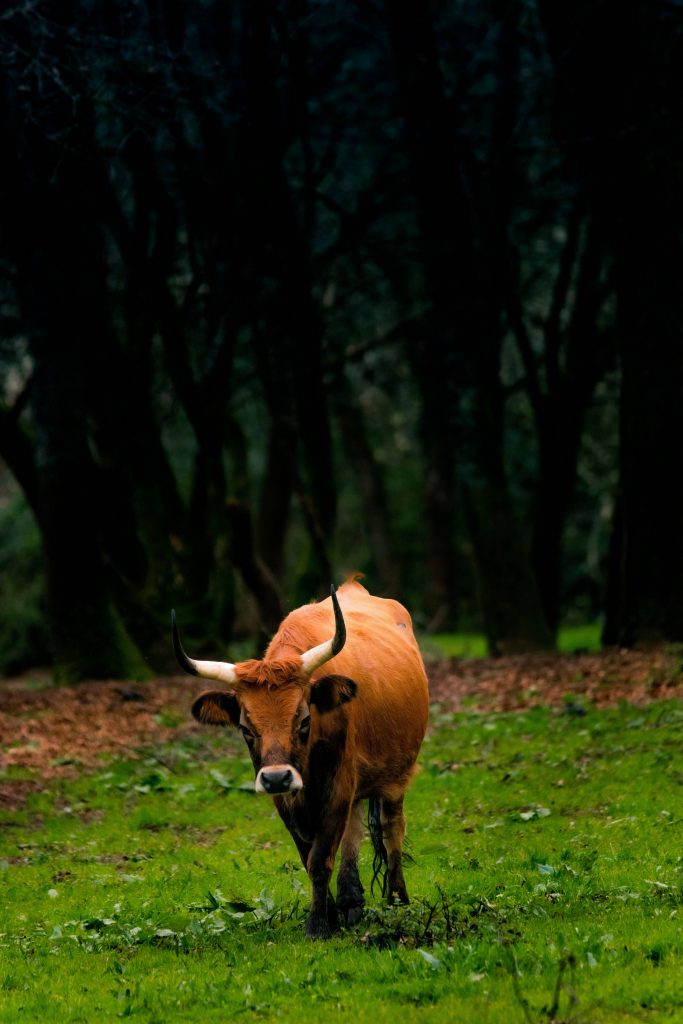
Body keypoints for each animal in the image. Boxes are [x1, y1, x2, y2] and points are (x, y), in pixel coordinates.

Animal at [172, 576, 429, 939]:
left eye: (304, 720)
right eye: (245, 728)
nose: (276, 777)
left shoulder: (339, 785)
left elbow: (320, 859)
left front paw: (318, 926)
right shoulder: (287, 800)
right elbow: (310, 858)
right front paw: (331, 916)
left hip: (397, 775)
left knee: (393, 829)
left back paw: (396, 901)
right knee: (353, 830)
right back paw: (352, 903)